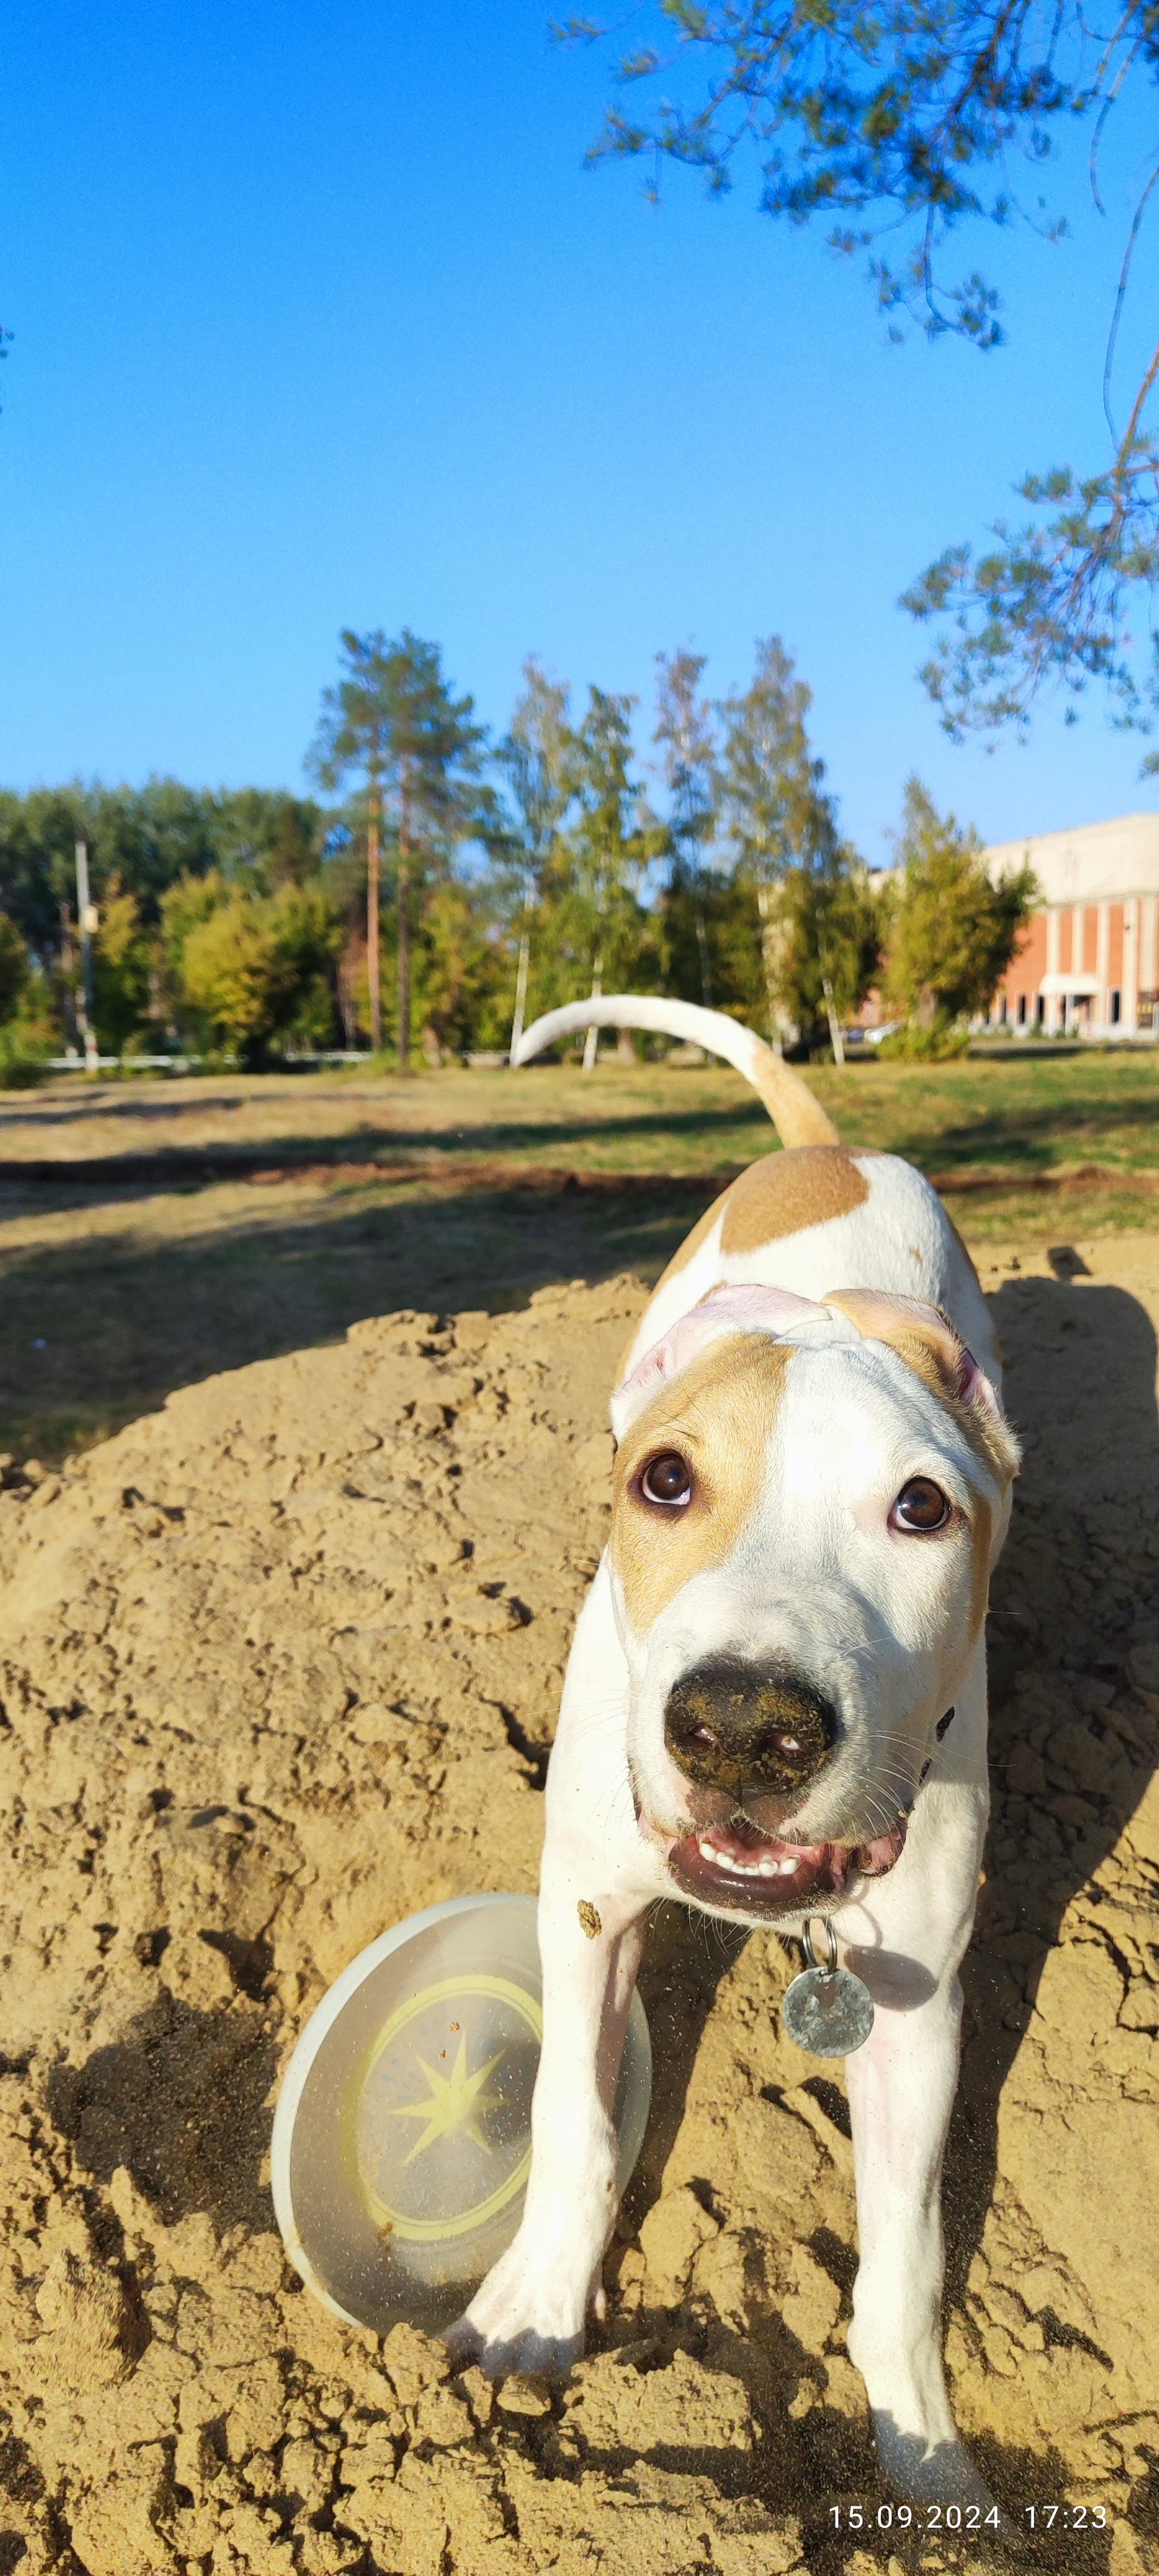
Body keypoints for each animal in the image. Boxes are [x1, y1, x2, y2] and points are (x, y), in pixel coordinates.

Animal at [448, 994, 1020, 2504]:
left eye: (923, 1508)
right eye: (665, 1479)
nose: (748, 1728)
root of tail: (833, 1147)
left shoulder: (919, 2002)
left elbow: (905, 2258)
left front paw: (929, 2465)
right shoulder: (586, 1905)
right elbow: (576, 2121)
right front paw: (537, 2306)